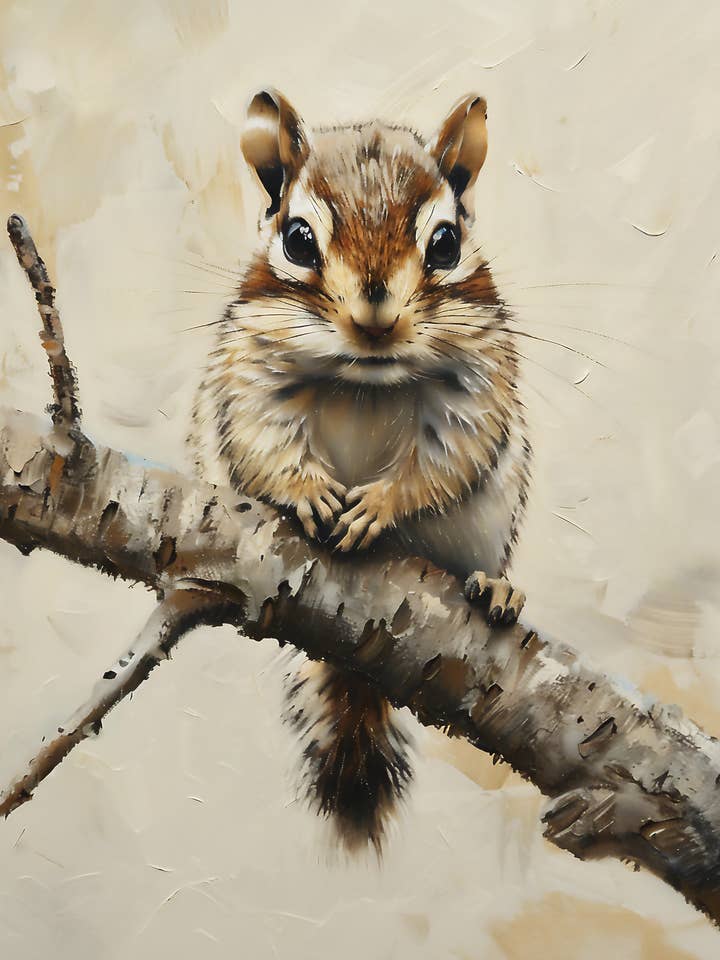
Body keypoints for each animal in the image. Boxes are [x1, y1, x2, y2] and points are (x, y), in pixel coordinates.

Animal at [189, 88, 531, 855]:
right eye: (297, 240)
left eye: (446, 243)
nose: (376, 316)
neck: (365, 379)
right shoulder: (247, 372)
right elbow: (262, 440)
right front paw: (310, 493)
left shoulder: (477, 384)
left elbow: (445, 460)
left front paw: (377, 507)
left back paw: (497, 588)